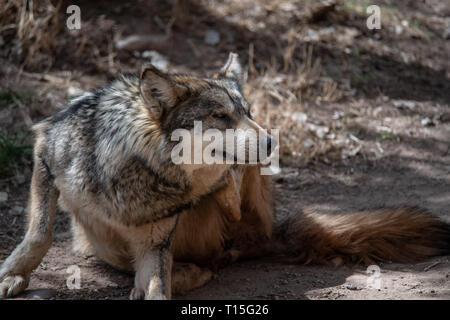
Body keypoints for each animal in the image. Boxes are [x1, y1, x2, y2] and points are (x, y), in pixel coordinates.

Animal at [0, 53, 450, 300]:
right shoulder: (45, 152)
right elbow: (38, 234)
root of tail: (272, 232)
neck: (138, 171)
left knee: (222, 230)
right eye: (221, 116)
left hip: (237, 211)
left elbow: (156, 288)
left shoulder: (154, 244)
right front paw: (13, 275)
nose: (271, 141)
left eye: (248, 112)